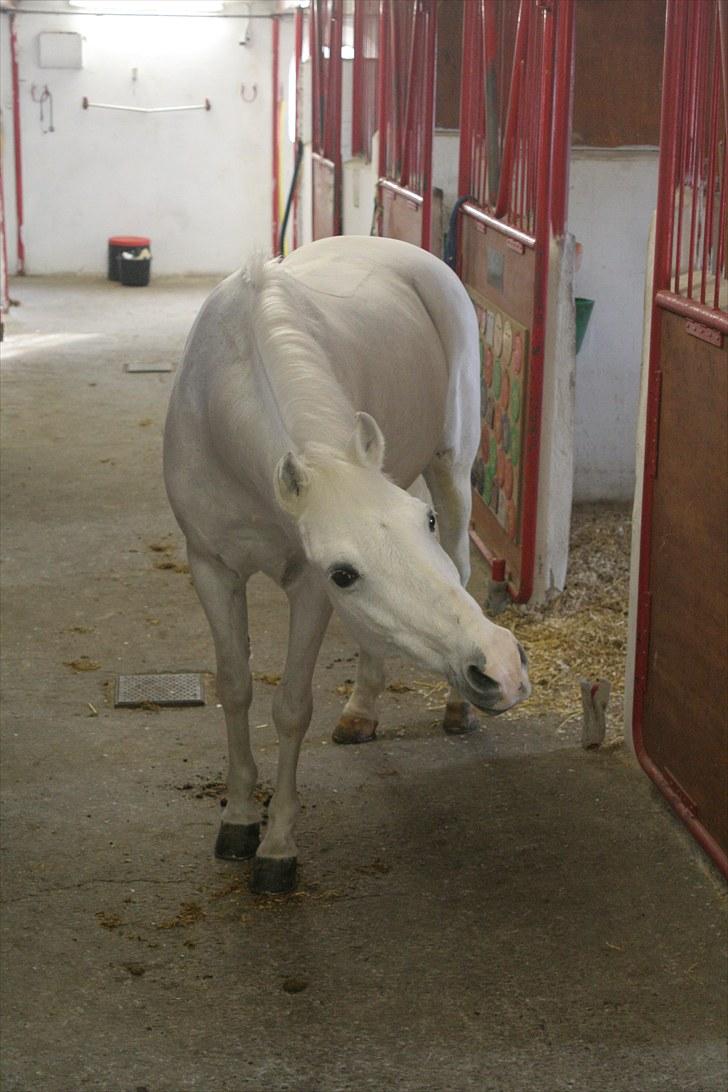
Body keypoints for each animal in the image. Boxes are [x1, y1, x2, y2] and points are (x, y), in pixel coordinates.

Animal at [163, 235, 530, 894]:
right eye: (344, 572)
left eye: (423, 523)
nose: (502, 667)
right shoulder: (212, 567)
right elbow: (234, 688)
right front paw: (238, 819)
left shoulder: (306, 588)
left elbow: (291, 709)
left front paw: (278, 846)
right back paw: (361, 713)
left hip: (453, 469)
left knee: (461, 567)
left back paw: (456, 708)